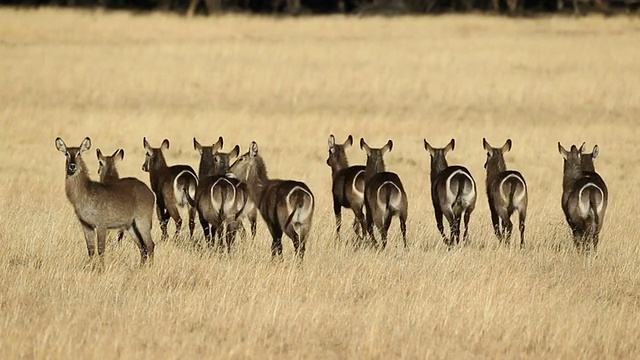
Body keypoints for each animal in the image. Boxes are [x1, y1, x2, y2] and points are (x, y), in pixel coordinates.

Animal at [55, 136, 155, 266]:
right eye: (66, 153)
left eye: (79, 153)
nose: (72, 166)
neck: (85, 192)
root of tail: (150, 193)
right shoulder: (86, 225)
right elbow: (91, 250)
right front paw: (91, 267)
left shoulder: (101, 225)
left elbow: (101, 250)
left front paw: (101, 268)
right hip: (131, 226)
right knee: (142, 247)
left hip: (142, 221)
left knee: (150, 245)